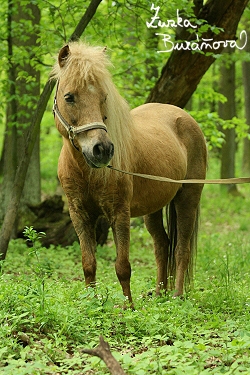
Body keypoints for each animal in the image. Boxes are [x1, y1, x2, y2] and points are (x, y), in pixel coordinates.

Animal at [51, 41, 207, 306]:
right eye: (69, 97)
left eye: (103, 97)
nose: (102, 150)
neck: (87, 172)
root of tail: (185, 117)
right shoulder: (79, 214)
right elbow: (88, 264)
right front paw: (91, 304)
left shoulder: (119, 213)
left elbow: (122, 266)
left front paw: (128, 307)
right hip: (153, 209)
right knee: (162, 245)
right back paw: (159, 294)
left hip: (188, 198)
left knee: (181, 249)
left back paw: (176, 296)